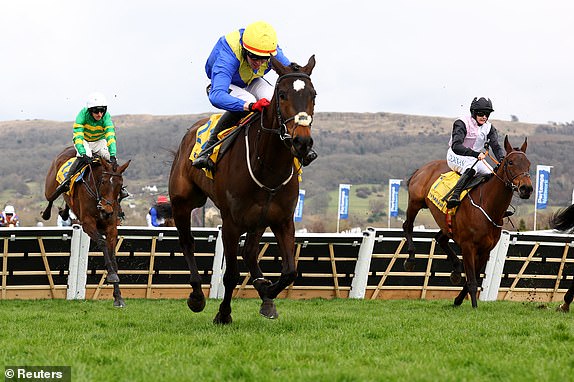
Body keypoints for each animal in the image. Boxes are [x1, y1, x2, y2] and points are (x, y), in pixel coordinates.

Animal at [42, 146, 131, 308]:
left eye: (120, 184)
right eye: (103, 181)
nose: (107, 210)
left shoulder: (111, 228)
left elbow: (113, 255)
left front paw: (118, 297)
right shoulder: (88, 224)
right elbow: (102, 243)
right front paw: (112, 276)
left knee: (66, 202)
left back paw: (65, 212)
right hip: (50, 187)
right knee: (51, 197)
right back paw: (48, 211)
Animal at [169, 55, 318, 324]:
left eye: (313, 95)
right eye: (282, 95)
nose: (302, 143)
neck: (268, 167)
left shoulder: (282, 220)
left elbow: (290, 271)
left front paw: (267, 292)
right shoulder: (231, 223)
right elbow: (230, 275)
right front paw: (223, 314)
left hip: (258, 220)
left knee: (249, 253)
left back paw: (264, 294)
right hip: (183, 202)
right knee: (187, 242)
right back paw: (196, 296)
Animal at [402, 136, 532, 308]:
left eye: (528, 163)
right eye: (510, 162)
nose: (526, 188)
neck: (488, 206)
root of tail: (423, 168)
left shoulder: (486, 250)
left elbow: (473, 278)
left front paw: (458, 300)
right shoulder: (468, 246)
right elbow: (471, 281)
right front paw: (474, 307)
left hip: (446, 223)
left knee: (440, 238)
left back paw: (456, 270)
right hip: (415, 202)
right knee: (408, 226)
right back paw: (411, 258)